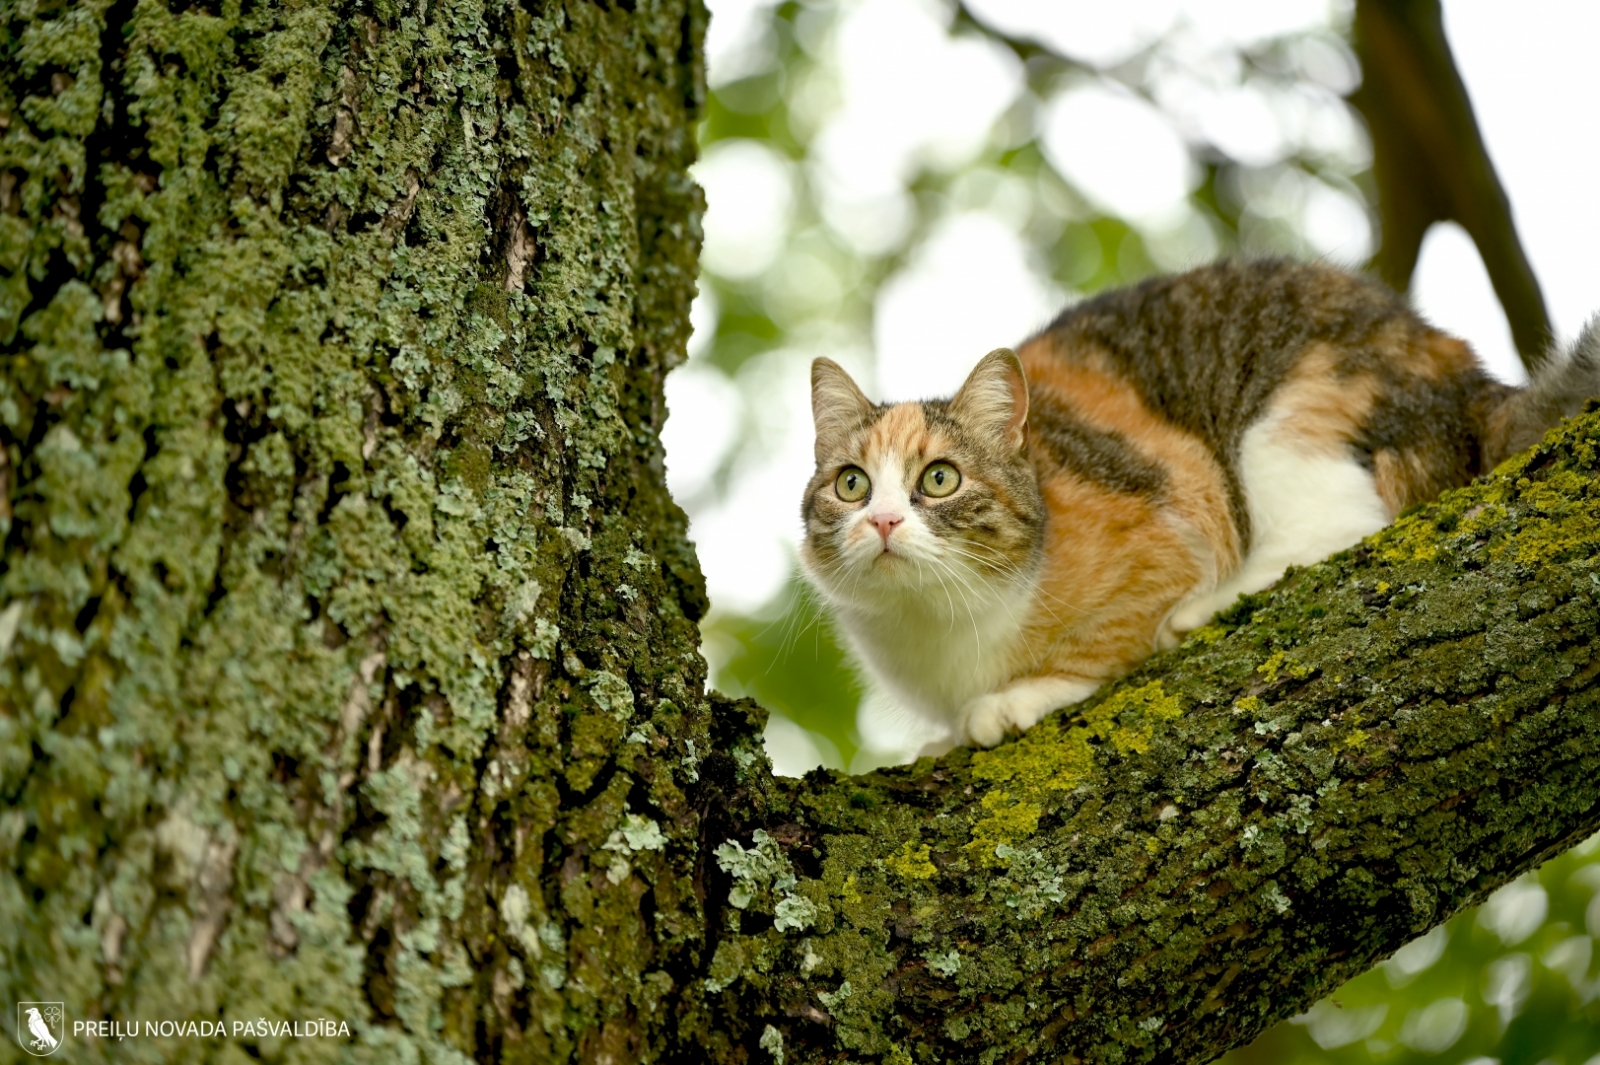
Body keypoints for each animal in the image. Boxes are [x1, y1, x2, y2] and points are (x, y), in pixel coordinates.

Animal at [800, 257, 1600, 754]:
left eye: (939, 479)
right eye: (852, 485)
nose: (883, 520)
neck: (934, 628)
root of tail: (1471, 380)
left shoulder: (1173, 517)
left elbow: (1109, 640)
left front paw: (1011, 700)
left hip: (1287, 420)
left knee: (1342, 528)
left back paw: (1212, 605)